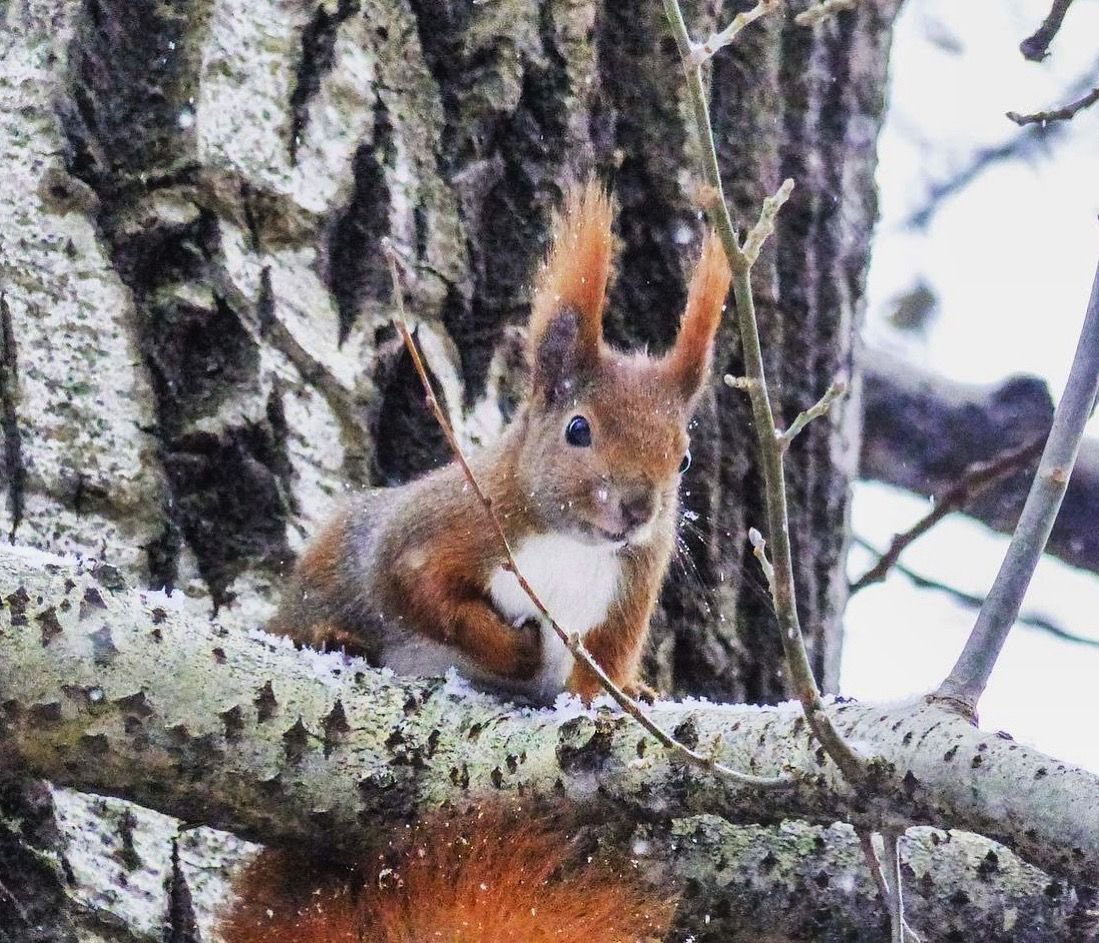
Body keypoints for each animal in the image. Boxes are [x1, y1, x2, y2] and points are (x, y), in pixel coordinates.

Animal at [267, 180, 732, 704]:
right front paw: (514, 651)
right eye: (578, 429)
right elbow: (423, 595)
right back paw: (334, 637)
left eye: (684, 459)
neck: (571, 544)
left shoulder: (631, 590)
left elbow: (603, 669)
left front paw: (621, 693)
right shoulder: (437, 529)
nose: (637, 509)